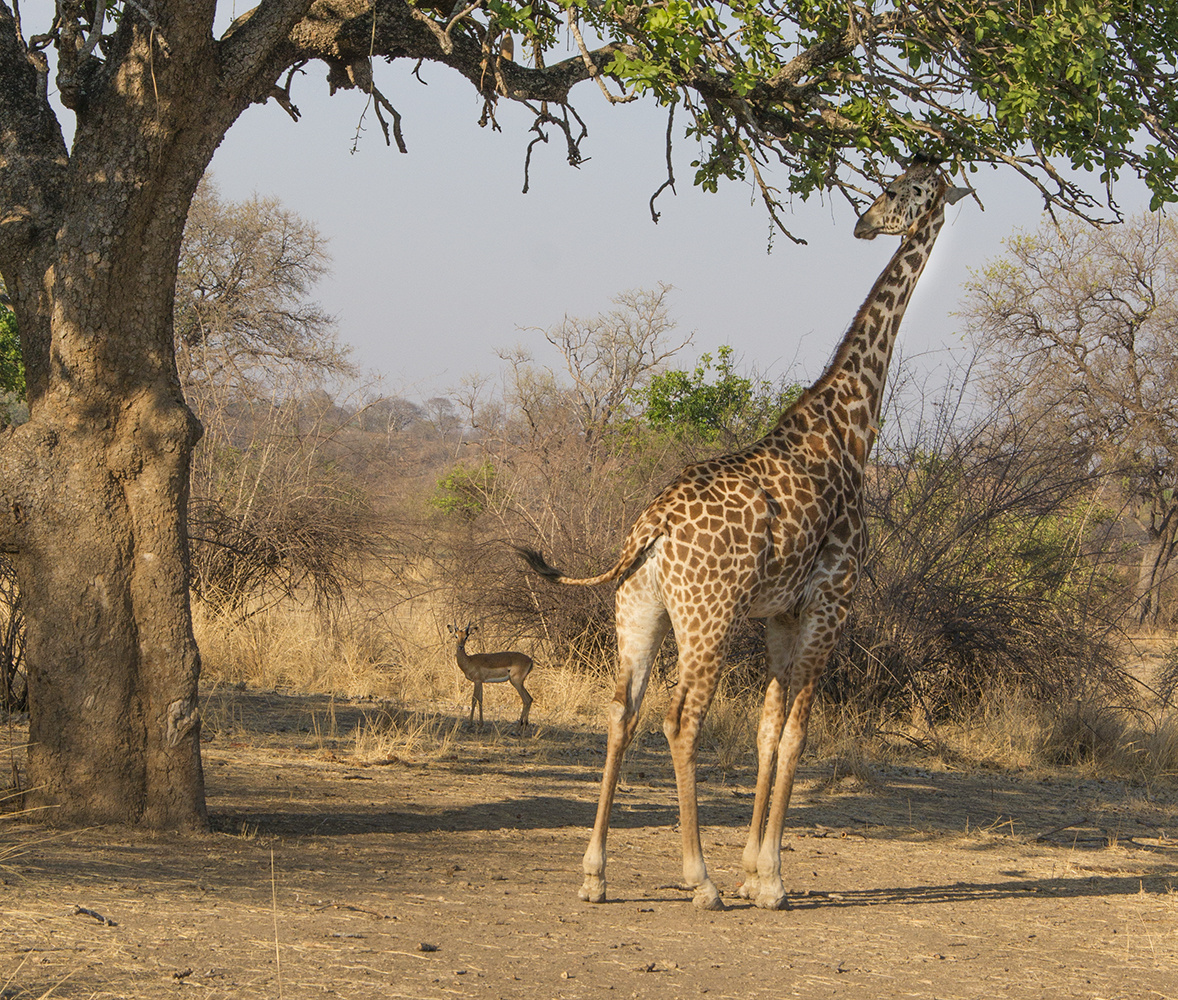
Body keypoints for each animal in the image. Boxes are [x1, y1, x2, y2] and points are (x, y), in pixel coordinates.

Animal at [520, 160, 970, 909]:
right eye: (895, 184)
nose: (864, 223)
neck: (851, 425)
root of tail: (651, 528)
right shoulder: (830, 605)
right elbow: (795, 737)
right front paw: (772, 881)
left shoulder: (783, 615)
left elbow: (766, 731)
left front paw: (755, 867)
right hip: (709, 615)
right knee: (680, 721)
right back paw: (697, 880)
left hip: (638, 610)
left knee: (620, 714)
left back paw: (595, 874)